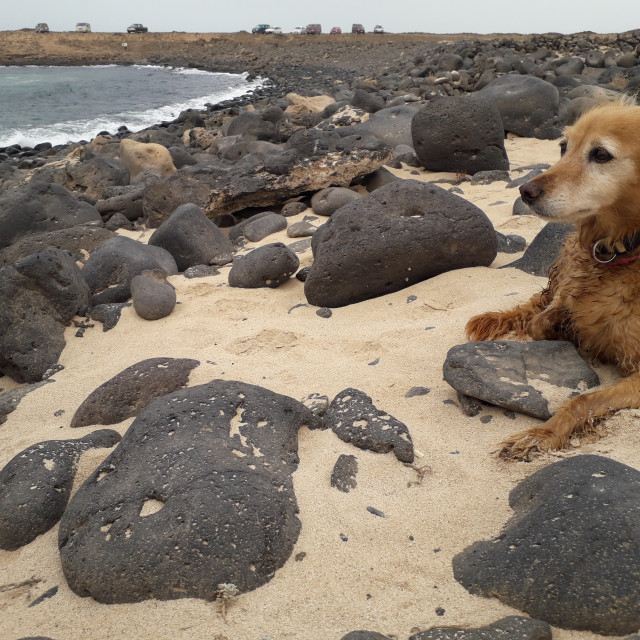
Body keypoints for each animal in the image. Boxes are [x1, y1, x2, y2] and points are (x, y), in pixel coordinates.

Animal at [464, 100, 640, 460]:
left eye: (601, 154)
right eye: (563, 147)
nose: (525, 190)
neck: (620, 251)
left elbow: (583, 400)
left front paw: (541, 434)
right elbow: (541, 321)